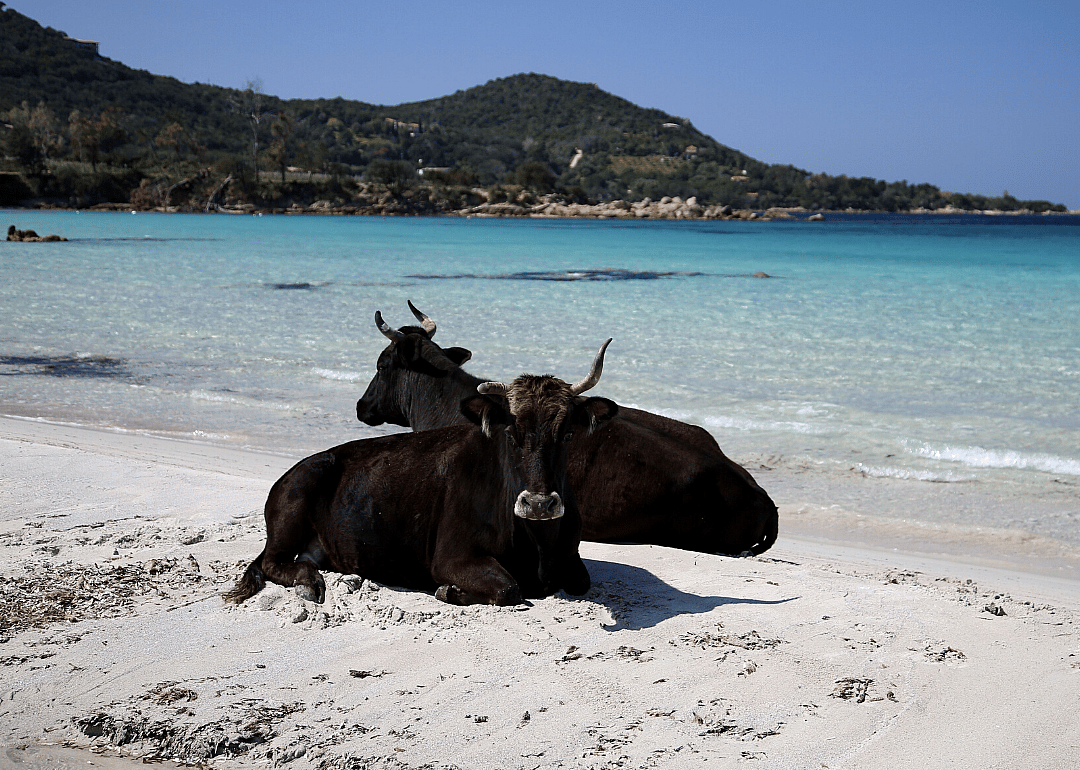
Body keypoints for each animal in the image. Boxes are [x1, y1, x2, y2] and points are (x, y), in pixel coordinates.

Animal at [225, 342, 617, 607]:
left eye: (567, 434)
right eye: (510, 433)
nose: (538, 504)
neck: (537, 541)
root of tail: (300, 466)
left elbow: (580, 581)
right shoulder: (452, 556)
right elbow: (509, 588)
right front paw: (450, 590)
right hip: (291, 510)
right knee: (271, 562)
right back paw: (309, 582)